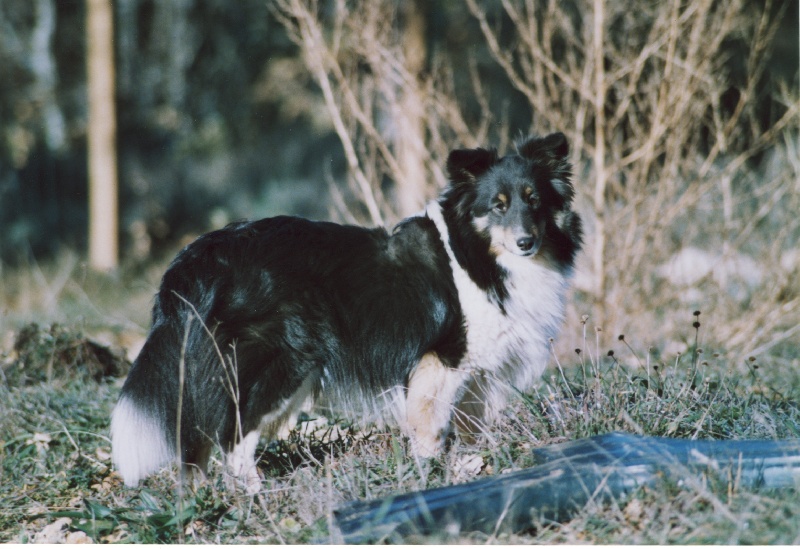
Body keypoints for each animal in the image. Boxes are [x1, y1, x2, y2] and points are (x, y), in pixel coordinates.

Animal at [111, 132, 580, 492]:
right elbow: (431, 431)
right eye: (498, 204)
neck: (480, 256)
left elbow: (470, 431)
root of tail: (198, 256)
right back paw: (257, 494)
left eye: (534, 200)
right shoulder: (442, 362)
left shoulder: (480, 377)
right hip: (271, 366)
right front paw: (431, 474)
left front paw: (476, 469)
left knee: (199, 444)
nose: (525, 242)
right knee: (232, 437)